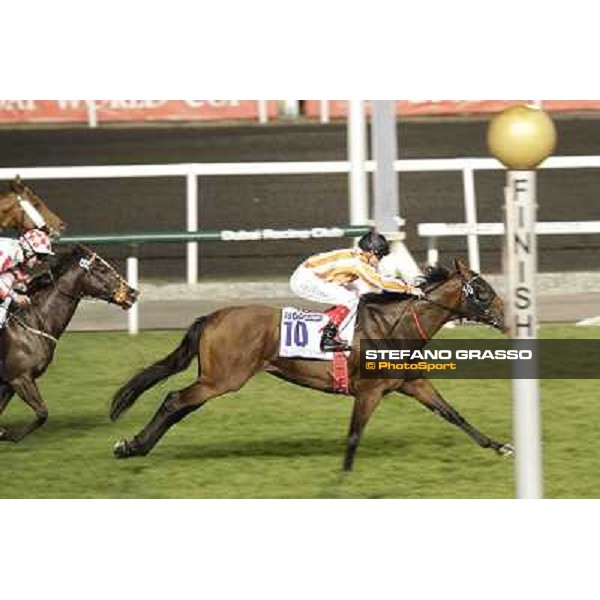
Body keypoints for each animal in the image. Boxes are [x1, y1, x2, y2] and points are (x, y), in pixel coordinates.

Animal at [0, 245, 137, 440]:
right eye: (102, 269)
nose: (133, 293)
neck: (34, 320)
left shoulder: (8, 382)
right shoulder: (20, 378)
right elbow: (42, 413)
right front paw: (8, 434)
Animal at [111, 258, 510, 468]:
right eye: (482, 291)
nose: (508, 317)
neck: (394, 327)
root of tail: (213, 316)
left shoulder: (412, 383)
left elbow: (453, 414)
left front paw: (498, 446)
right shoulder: (369, 392)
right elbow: (354, 433)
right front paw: (345, 474)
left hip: (214, 379)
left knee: (180, 407)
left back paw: (137, 446)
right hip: (222, 379)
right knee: (173, 401)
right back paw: (131, 446)